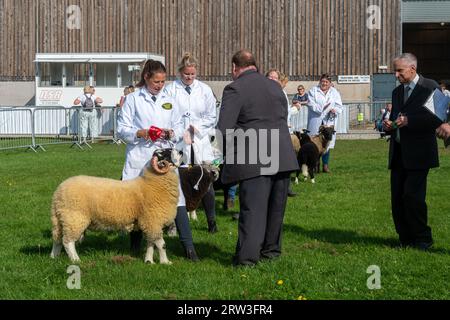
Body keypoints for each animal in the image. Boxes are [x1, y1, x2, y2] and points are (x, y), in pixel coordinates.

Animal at [50, 151, 180, 264]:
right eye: (168, 153)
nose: (181, 152)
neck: (152, 183)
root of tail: (58, 192)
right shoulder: (153, 220)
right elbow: (162, 244)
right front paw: (165, 262)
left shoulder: (149, 222)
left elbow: (151, 244)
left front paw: (149, 261)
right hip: (74, 217)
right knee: (67, 241)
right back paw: (75, 260)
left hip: (61, 218)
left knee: (57, 239)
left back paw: (54, 257)